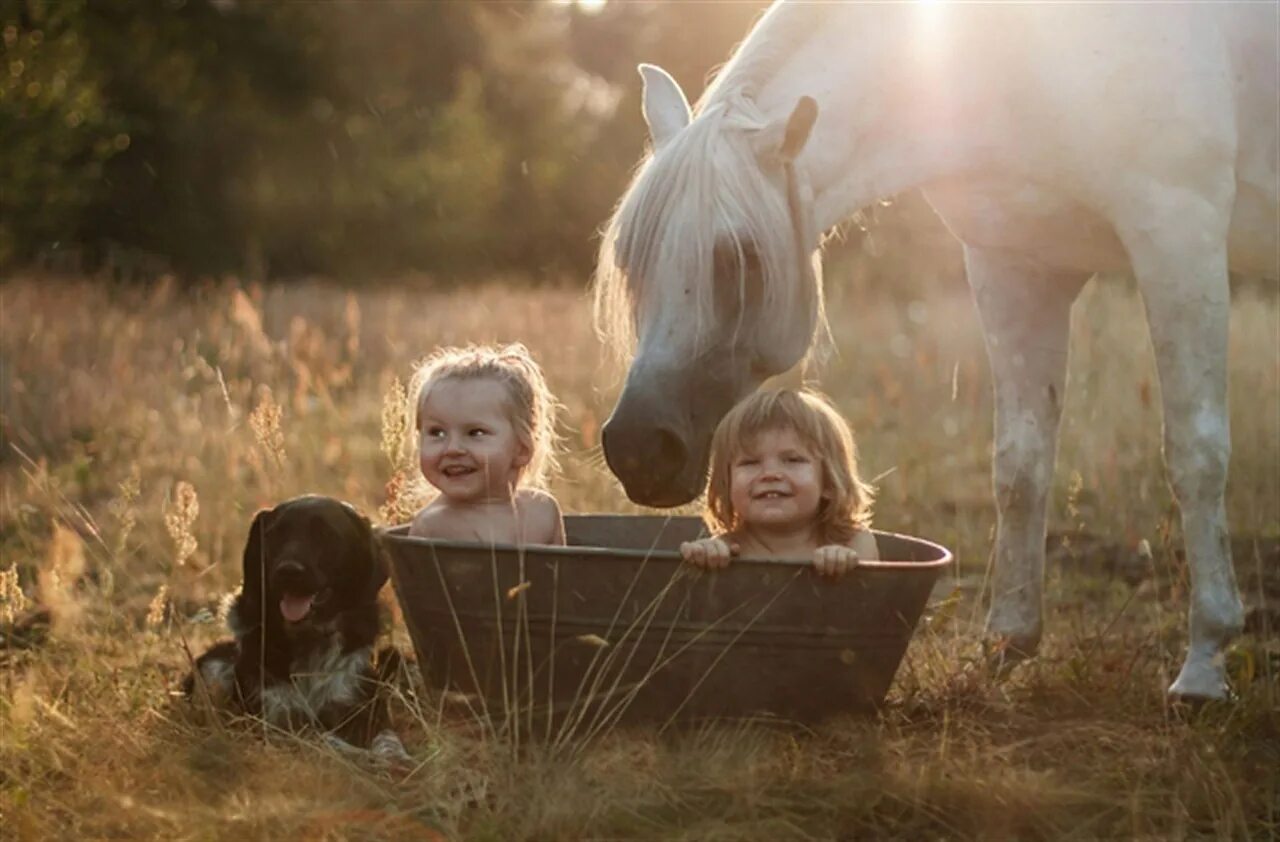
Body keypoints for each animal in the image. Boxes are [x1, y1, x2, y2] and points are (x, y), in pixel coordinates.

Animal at [185, 491, 401, 747]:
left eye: (326, 534)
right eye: (275, 535)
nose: (288, 571)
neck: (308, 639)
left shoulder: (357, 707)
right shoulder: (274, 715)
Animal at [593, 1, 1274, 696]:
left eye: (742, 259)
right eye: (629, 259)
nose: (637, 448)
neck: (1025, 59)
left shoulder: (1178, 237)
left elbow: (1195, 455)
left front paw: (1204, 662)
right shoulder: (1014, 264)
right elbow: (1020, 466)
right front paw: (1007, 643)